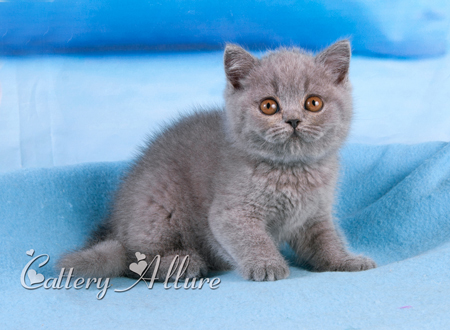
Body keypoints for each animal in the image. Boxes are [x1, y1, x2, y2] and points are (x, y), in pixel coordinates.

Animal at [59, 40, 376, 282]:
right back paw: (183, 263)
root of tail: (115, 222)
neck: (291, 171)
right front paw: (267, 265)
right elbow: (252, 238)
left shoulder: (315, 215)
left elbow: (327, 240)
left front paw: (346, 261)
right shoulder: (230, 213)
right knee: (134, 260)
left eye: (313, 103)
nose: (293, 120)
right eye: (269, 105)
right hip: (155, 205)